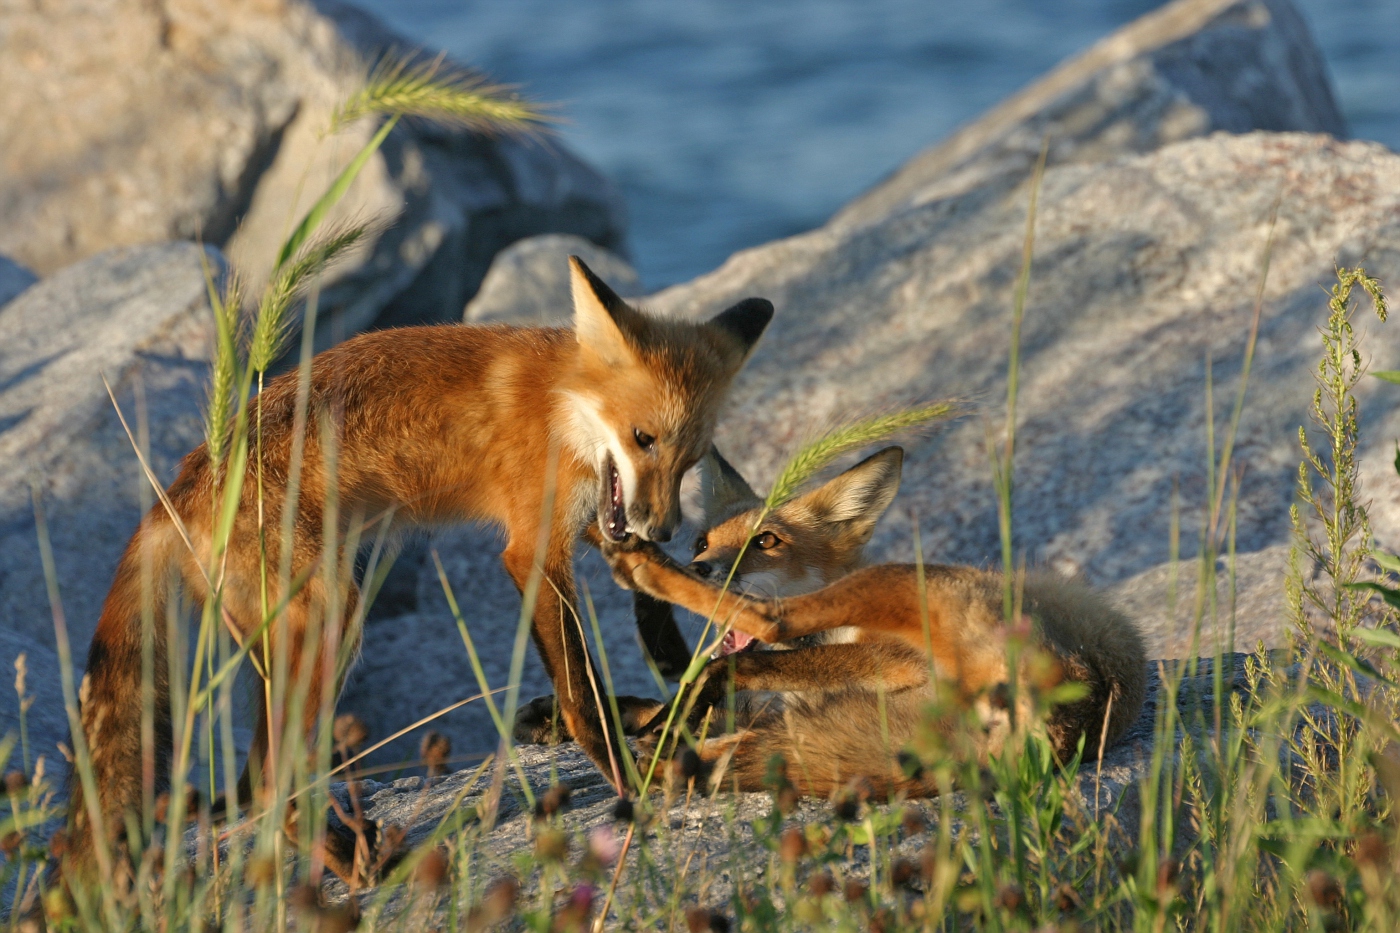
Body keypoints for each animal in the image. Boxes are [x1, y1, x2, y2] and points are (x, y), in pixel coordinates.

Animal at [68, 256, 778, 874]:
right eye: (642, 438)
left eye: (691, 461)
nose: (665, 525)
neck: (560, 404)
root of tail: (177, 492)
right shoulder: (534, 545)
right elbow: (583, 692)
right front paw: (630, 777)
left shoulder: (597, 521)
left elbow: (682, 585)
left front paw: (755, 622)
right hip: (331, 617)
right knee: (270, 784)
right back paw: (370, 868)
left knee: (250, 785)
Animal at [602, 442, 1148, 790]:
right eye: (702, 542)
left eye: (766, 541)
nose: (699, 566)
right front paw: (639, 714)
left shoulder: (896, 657)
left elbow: (738, 674)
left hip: (897, 582)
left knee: (770, 623)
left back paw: (643, 569)